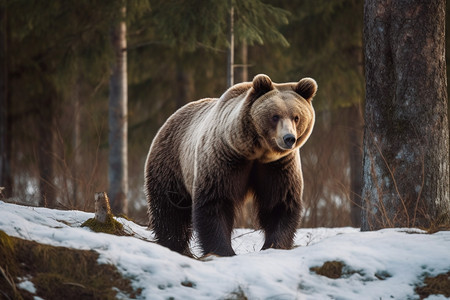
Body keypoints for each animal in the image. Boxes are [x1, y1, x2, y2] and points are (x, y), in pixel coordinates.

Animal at [144, 74, 316, 256]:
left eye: (296, 117)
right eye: (275, 116)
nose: (289, 138)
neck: (257, 152)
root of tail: (171, 117)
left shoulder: (278, 166)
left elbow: (279, 203)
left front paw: (274, 245)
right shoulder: (225, 158)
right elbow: (215, 203)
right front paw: (223, 250)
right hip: (172, 164)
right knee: (170, 210)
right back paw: (174, 244)